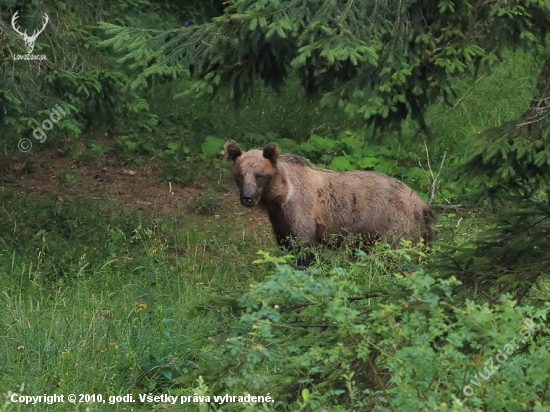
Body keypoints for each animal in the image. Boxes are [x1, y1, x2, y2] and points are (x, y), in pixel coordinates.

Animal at [224, 141, 436, 258]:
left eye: (260, 175)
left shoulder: (301, 211)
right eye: (240, 175)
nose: (247, 198)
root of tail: (423, 203)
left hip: (395, 224)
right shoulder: (279, 219)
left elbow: (305, 248)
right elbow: (286, 245)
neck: (280, 196)